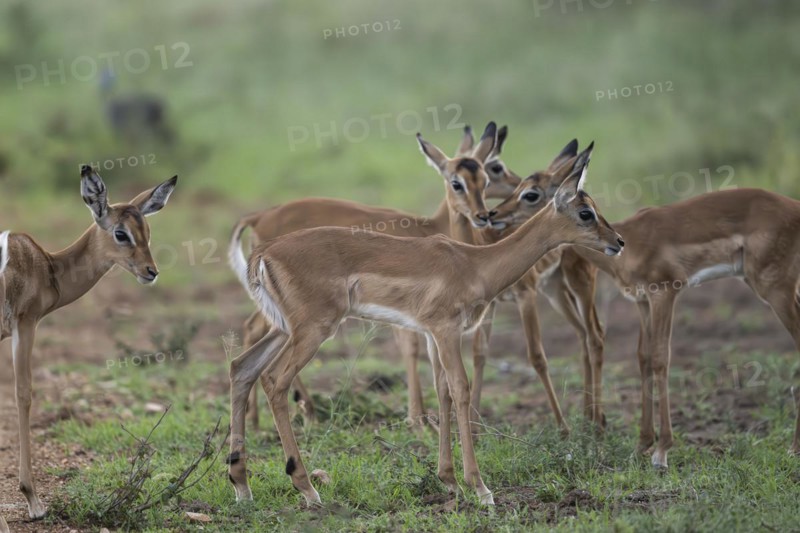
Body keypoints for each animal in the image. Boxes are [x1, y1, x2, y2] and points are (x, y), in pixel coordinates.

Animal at [0, 166, 177, 518]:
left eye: (147, 230)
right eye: (121, 233)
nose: (151, 271)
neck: (46, 266)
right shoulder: (25, 325)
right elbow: (23, 395)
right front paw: (33, 501)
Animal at [233, 122, 518, 428]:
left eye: (484, 180)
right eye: (458, 182)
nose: (483, 215)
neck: (430, 228)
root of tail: (259, 217)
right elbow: (411, 347)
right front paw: (418, 419)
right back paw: (299, 412)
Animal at [490, 187, 800, 468]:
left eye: (531, 194)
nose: (492, 215)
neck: (633, 242)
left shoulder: (664, 293)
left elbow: (662, 359)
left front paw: (661, 452)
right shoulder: (641, 301)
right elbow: (645, 359)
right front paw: (642, 445)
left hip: (776, 290)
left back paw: (793, 448)